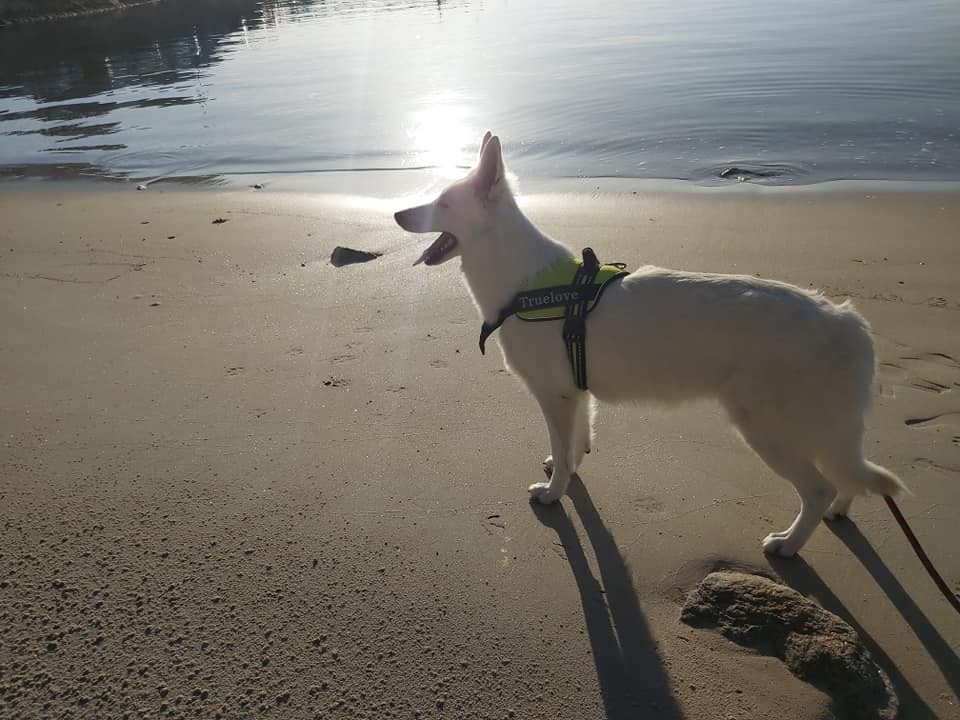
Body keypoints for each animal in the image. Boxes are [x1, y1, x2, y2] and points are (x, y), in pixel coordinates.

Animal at [394, 131, 904, 556]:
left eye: (442, 202)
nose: (397, 213)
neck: (525, 280)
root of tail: (845, 322)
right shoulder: (576, 392)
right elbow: (576, 442)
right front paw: (568, 467)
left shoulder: (555, 396)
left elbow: (563, 447)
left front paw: (555, 493)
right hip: (816, 429)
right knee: (846, 475)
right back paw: (840, 509)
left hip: (767, 429)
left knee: (818, 488)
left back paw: (789, 543)